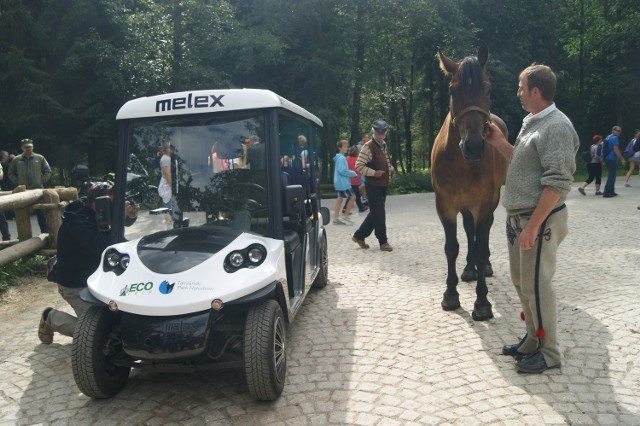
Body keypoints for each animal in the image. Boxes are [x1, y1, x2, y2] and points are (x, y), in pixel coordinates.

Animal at [430, 43, 510, 322]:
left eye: (487, 89)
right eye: (453, 90)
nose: (474, 146)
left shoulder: (484, 205)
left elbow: (480, 245)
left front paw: (482, 302)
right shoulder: (445, 206)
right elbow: (451, 247)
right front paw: (450, 294)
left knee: (480, 238)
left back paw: (482, 266)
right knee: (469, 230)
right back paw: (469, 268)